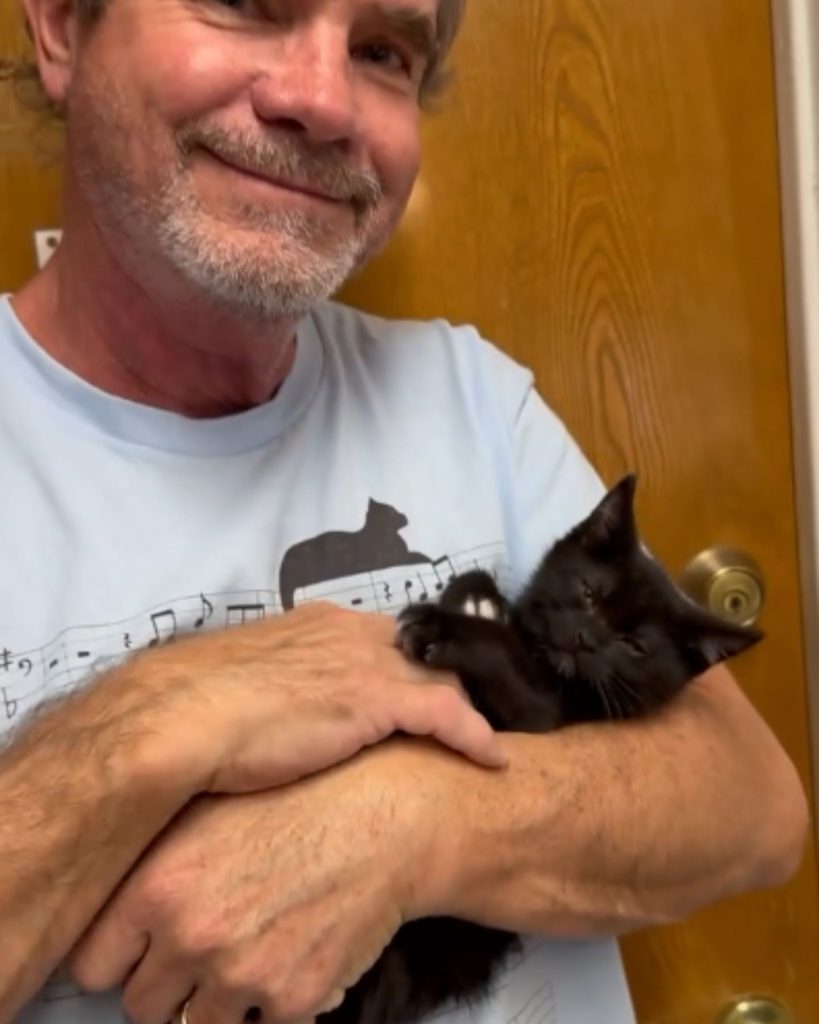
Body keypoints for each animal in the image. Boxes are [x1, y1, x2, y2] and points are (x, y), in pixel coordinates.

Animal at [319, 475, 761, 1024]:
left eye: (634, 646)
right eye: (589, 593)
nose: (585, 638)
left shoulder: (544, 719)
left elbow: (505, 662)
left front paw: (449, 627)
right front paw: (476, 594)